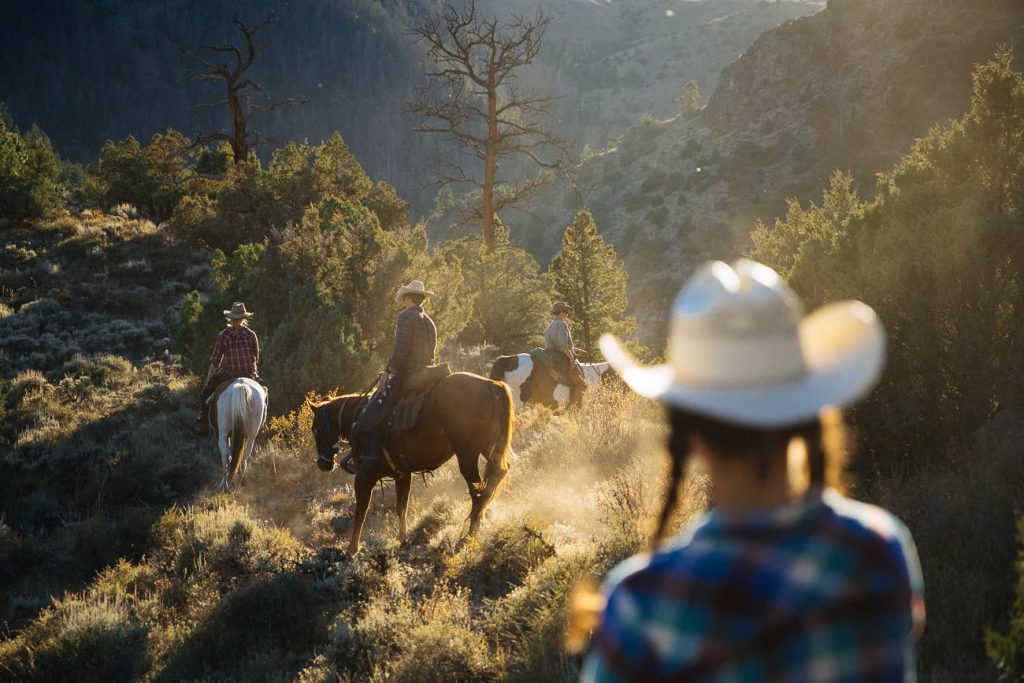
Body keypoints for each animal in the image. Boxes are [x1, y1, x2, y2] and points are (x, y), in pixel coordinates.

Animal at [303, 370, 512, 552]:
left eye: (315, 429)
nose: (323, 464)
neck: (357, 418)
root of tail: (491, 385)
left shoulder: (364, 477)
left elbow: (360, 513)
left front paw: (351, 549)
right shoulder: (402, 475)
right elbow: (401, 507)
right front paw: (403, 539)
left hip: (467, 455)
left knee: (477, 489)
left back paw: (470, 533)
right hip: (489, 448)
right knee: (495, 477)